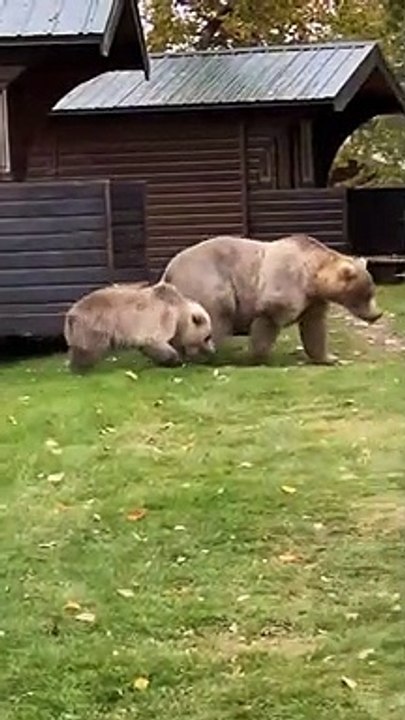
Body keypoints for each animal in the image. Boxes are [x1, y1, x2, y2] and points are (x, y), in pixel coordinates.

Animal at [64, 281, 215, 372]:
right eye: (207, 337)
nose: (213, 350)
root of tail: (71, 313)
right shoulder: (160, 319)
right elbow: (155, 341)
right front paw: (175, 360)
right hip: (95, 324)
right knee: (87, 348)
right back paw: (82, 367)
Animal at [161, 233, 383, 365]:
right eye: (367, 294)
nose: (377, 314)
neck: (313, 277)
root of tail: (169, 270)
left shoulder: (313, 301)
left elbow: (314, 328)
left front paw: (329, 357)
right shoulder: (283, 286)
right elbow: (268, 320)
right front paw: (256, 357)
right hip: (210, 283)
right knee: (216, 316)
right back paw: (208, 355)